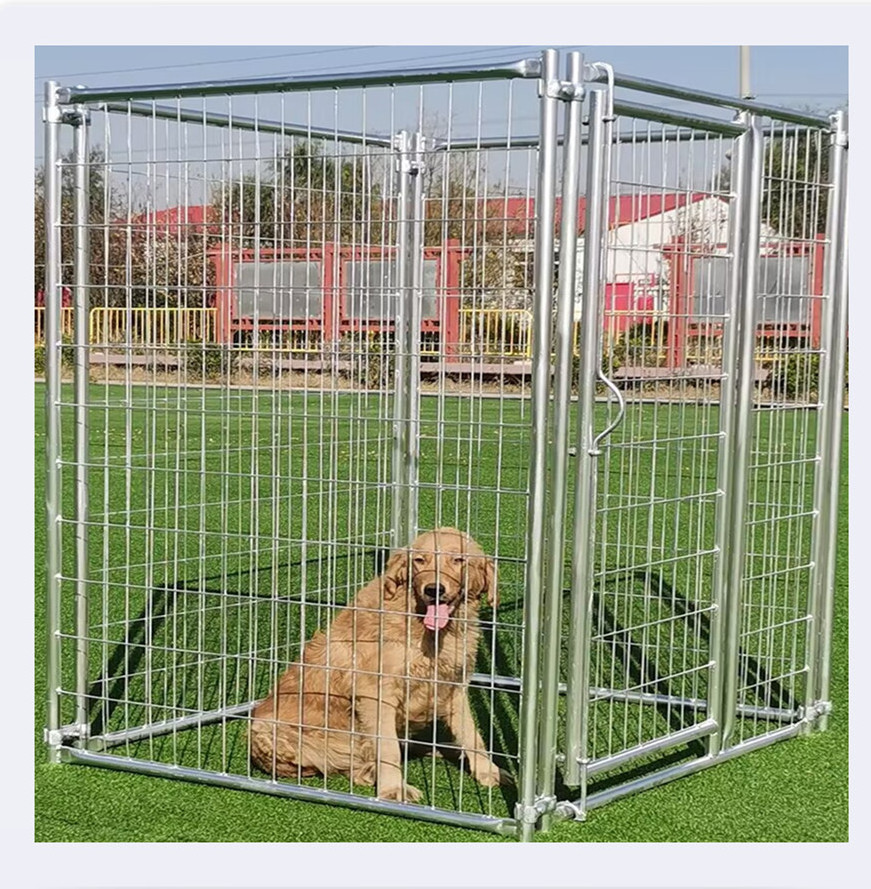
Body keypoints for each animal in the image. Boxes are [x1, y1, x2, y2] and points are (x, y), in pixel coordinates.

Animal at [250, 528, 504, 804]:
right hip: (270, 732)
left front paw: (488, 770)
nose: (433, 589)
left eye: (458, 560)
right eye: (420, 561)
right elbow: (388, 747)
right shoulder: (377, 694)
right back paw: (369, 770)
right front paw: (393, 788)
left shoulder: (454, 687)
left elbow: (472, 735)